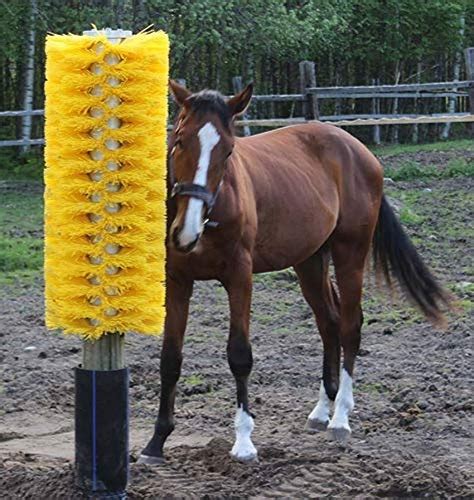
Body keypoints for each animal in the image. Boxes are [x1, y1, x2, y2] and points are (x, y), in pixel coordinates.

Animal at [139, 81, 450, 464]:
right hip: (310, 261)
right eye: (180, 140)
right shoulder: (178, 280)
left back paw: (340, 418)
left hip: (350, 253)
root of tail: (358, 150)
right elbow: (170, 358)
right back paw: (321, 410)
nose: (187, 231)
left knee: (350, 325)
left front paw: (244, 442)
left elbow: (239, 354)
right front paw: (156, 442)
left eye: (228, 151)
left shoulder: (240, 277)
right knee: (329, 322)